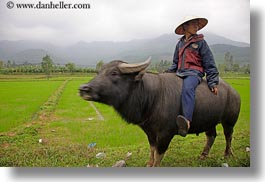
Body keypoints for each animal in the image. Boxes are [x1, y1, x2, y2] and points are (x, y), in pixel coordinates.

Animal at [78, 57, 239, 167]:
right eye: (99, 72)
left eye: (114, 73)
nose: (84, 89)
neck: (152, 97)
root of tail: (234, 91)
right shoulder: (149, 131)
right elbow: (152, 149)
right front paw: (149, 163)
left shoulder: (165, 134)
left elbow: (159, 152)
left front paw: (155, 165)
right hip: (209, 121)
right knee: (211, 135)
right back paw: (203, 155)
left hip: (229, 121)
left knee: (228, 135)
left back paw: (227, 154)